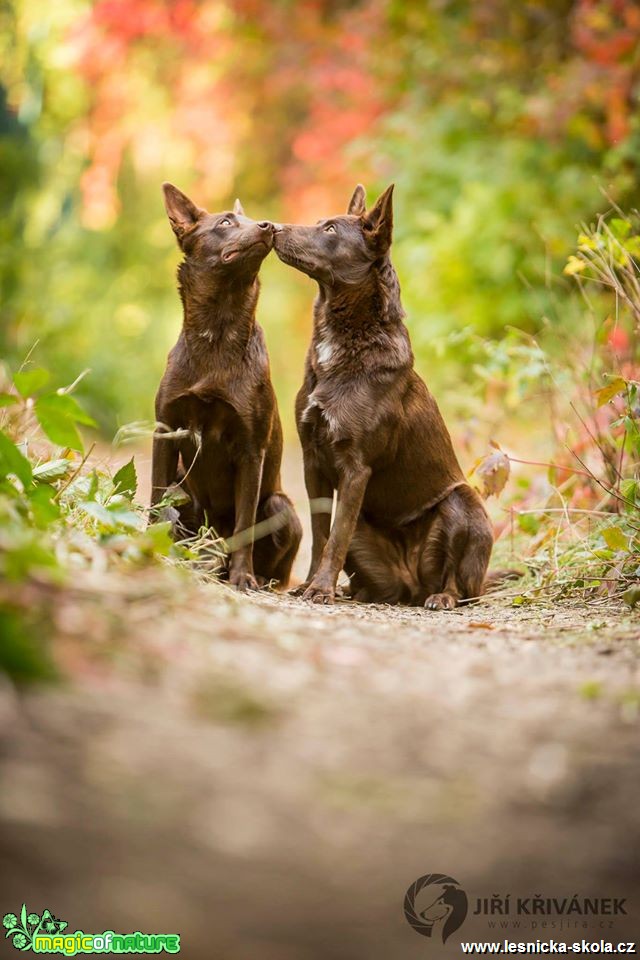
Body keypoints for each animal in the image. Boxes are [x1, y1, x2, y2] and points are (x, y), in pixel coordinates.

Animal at [151, 178, 302, 584]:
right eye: (225, 222)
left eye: (249, 219)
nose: (268, 226)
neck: (217, 334)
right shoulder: (165, 431)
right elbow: (155, 500)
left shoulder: (251, 451)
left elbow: (245, 524)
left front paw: (242, 577)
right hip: (183, 486)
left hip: (281, 506)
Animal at [272, 182, 492, 608]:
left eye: (329, 230)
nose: (270, 227)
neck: (346, 340)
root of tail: (413, 584)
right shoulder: (312, 461)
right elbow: (322, 533)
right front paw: (310, 584)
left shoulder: (356, 467)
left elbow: (335, 536)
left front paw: (320, 589)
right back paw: (356, 590)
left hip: (463, 502)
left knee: (458, 582)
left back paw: (442, 596)